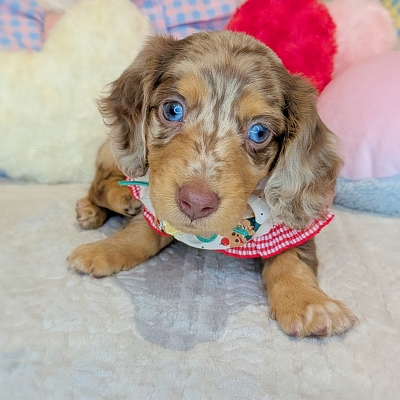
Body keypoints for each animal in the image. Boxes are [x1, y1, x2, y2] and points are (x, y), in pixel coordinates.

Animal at [67, 31, 357, 337]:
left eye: (259, 132)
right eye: (173, 109)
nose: (195, 203)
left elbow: (292, 256)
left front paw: (308, 302)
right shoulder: (154, 197)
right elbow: (141, 230)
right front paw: (104, 250)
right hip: (114, 154)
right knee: (99, 184)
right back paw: (106, 204)